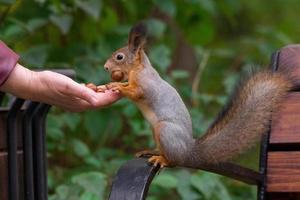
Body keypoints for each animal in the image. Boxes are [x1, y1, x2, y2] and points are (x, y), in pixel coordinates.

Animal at [88, 22, 292, 168]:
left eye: (119, 57)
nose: (105, 67)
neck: (139, 68)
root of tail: (189, 152)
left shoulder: (145, 85)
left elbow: (136, 92)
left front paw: (117, 86)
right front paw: (109, 85)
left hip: (165, 130)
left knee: (174, 161)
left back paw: (162, 160)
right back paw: (152, 152)